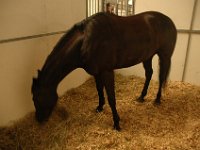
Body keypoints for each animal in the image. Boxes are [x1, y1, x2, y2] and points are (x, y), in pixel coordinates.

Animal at [31, 11, 177, 130]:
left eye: (37, 98)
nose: (39, 120)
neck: (87, 41)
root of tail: (169, 21)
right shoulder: (97, 72)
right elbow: (99, 90)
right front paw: (100, 107)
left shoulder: (107, 71)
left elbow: (111, 97)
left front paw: (116, 123)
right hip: (147, 56)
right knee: (149, 73)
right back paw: (141, 97)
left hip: (164, 56)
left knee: (161, 77)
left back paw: (157, 100)